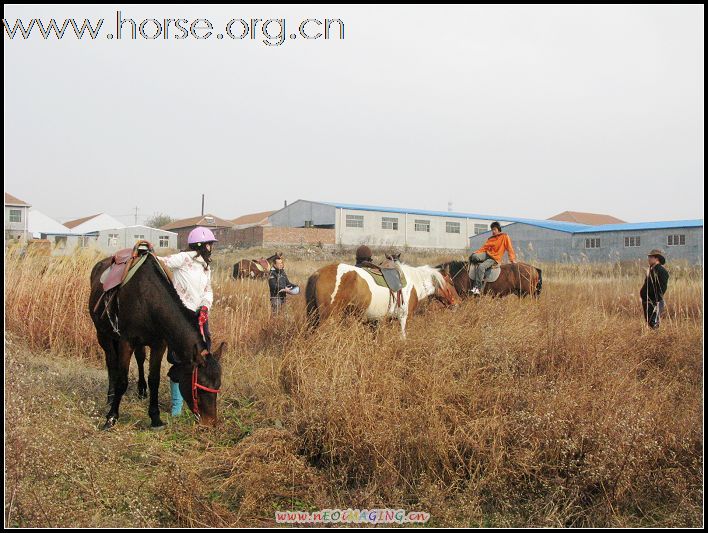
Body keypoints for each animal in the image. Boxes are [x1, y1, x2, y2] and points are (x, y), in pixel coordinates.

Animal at [90, 249, 224, 428]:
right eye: (199, 388)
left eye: (218, 385)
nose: (210, 423)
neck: (147, 298)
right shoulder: (126, 342)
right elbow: (122, 380)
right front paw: (111, 417)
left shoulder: (159, 344)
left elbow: (154, 379)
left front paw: (155, 418)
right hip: (103, 335)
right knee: (111, 363)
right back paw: (110, 398)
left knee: (140, 358)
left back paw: (141, 390)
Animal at [304, 260, 460, 336]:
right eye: (452, 282)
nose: (458, 302)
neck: (413, 282)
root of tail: (318, 273)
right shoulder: (404, 318)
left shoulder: (378, 322)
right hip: (326, 318)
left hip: (313, 318)